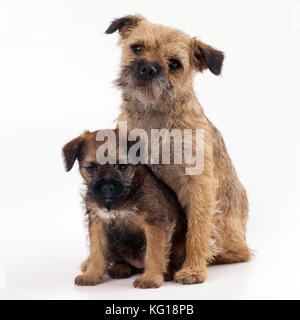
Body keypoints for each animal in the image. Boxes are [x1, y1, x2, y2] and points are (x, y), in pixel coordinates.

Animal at [62, 129, 186, 288]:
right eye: (91, 168)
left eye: (122, 166)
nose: (107, 188)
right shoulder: (97, 224)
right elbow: (96, 252)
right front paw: (92, 275)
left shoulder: (154, 225)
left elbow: (154, 253)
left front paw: (151, 278)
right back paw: (120, 268)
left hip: (179, 246)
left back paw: (168, 272)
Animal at [106, 15, 252, 284]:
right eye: (137, 48)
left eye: (174, 63)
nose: (147, 68)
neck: (155, 114)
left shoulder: (199, 185)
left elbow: (198, 230)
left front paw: (192, 270)